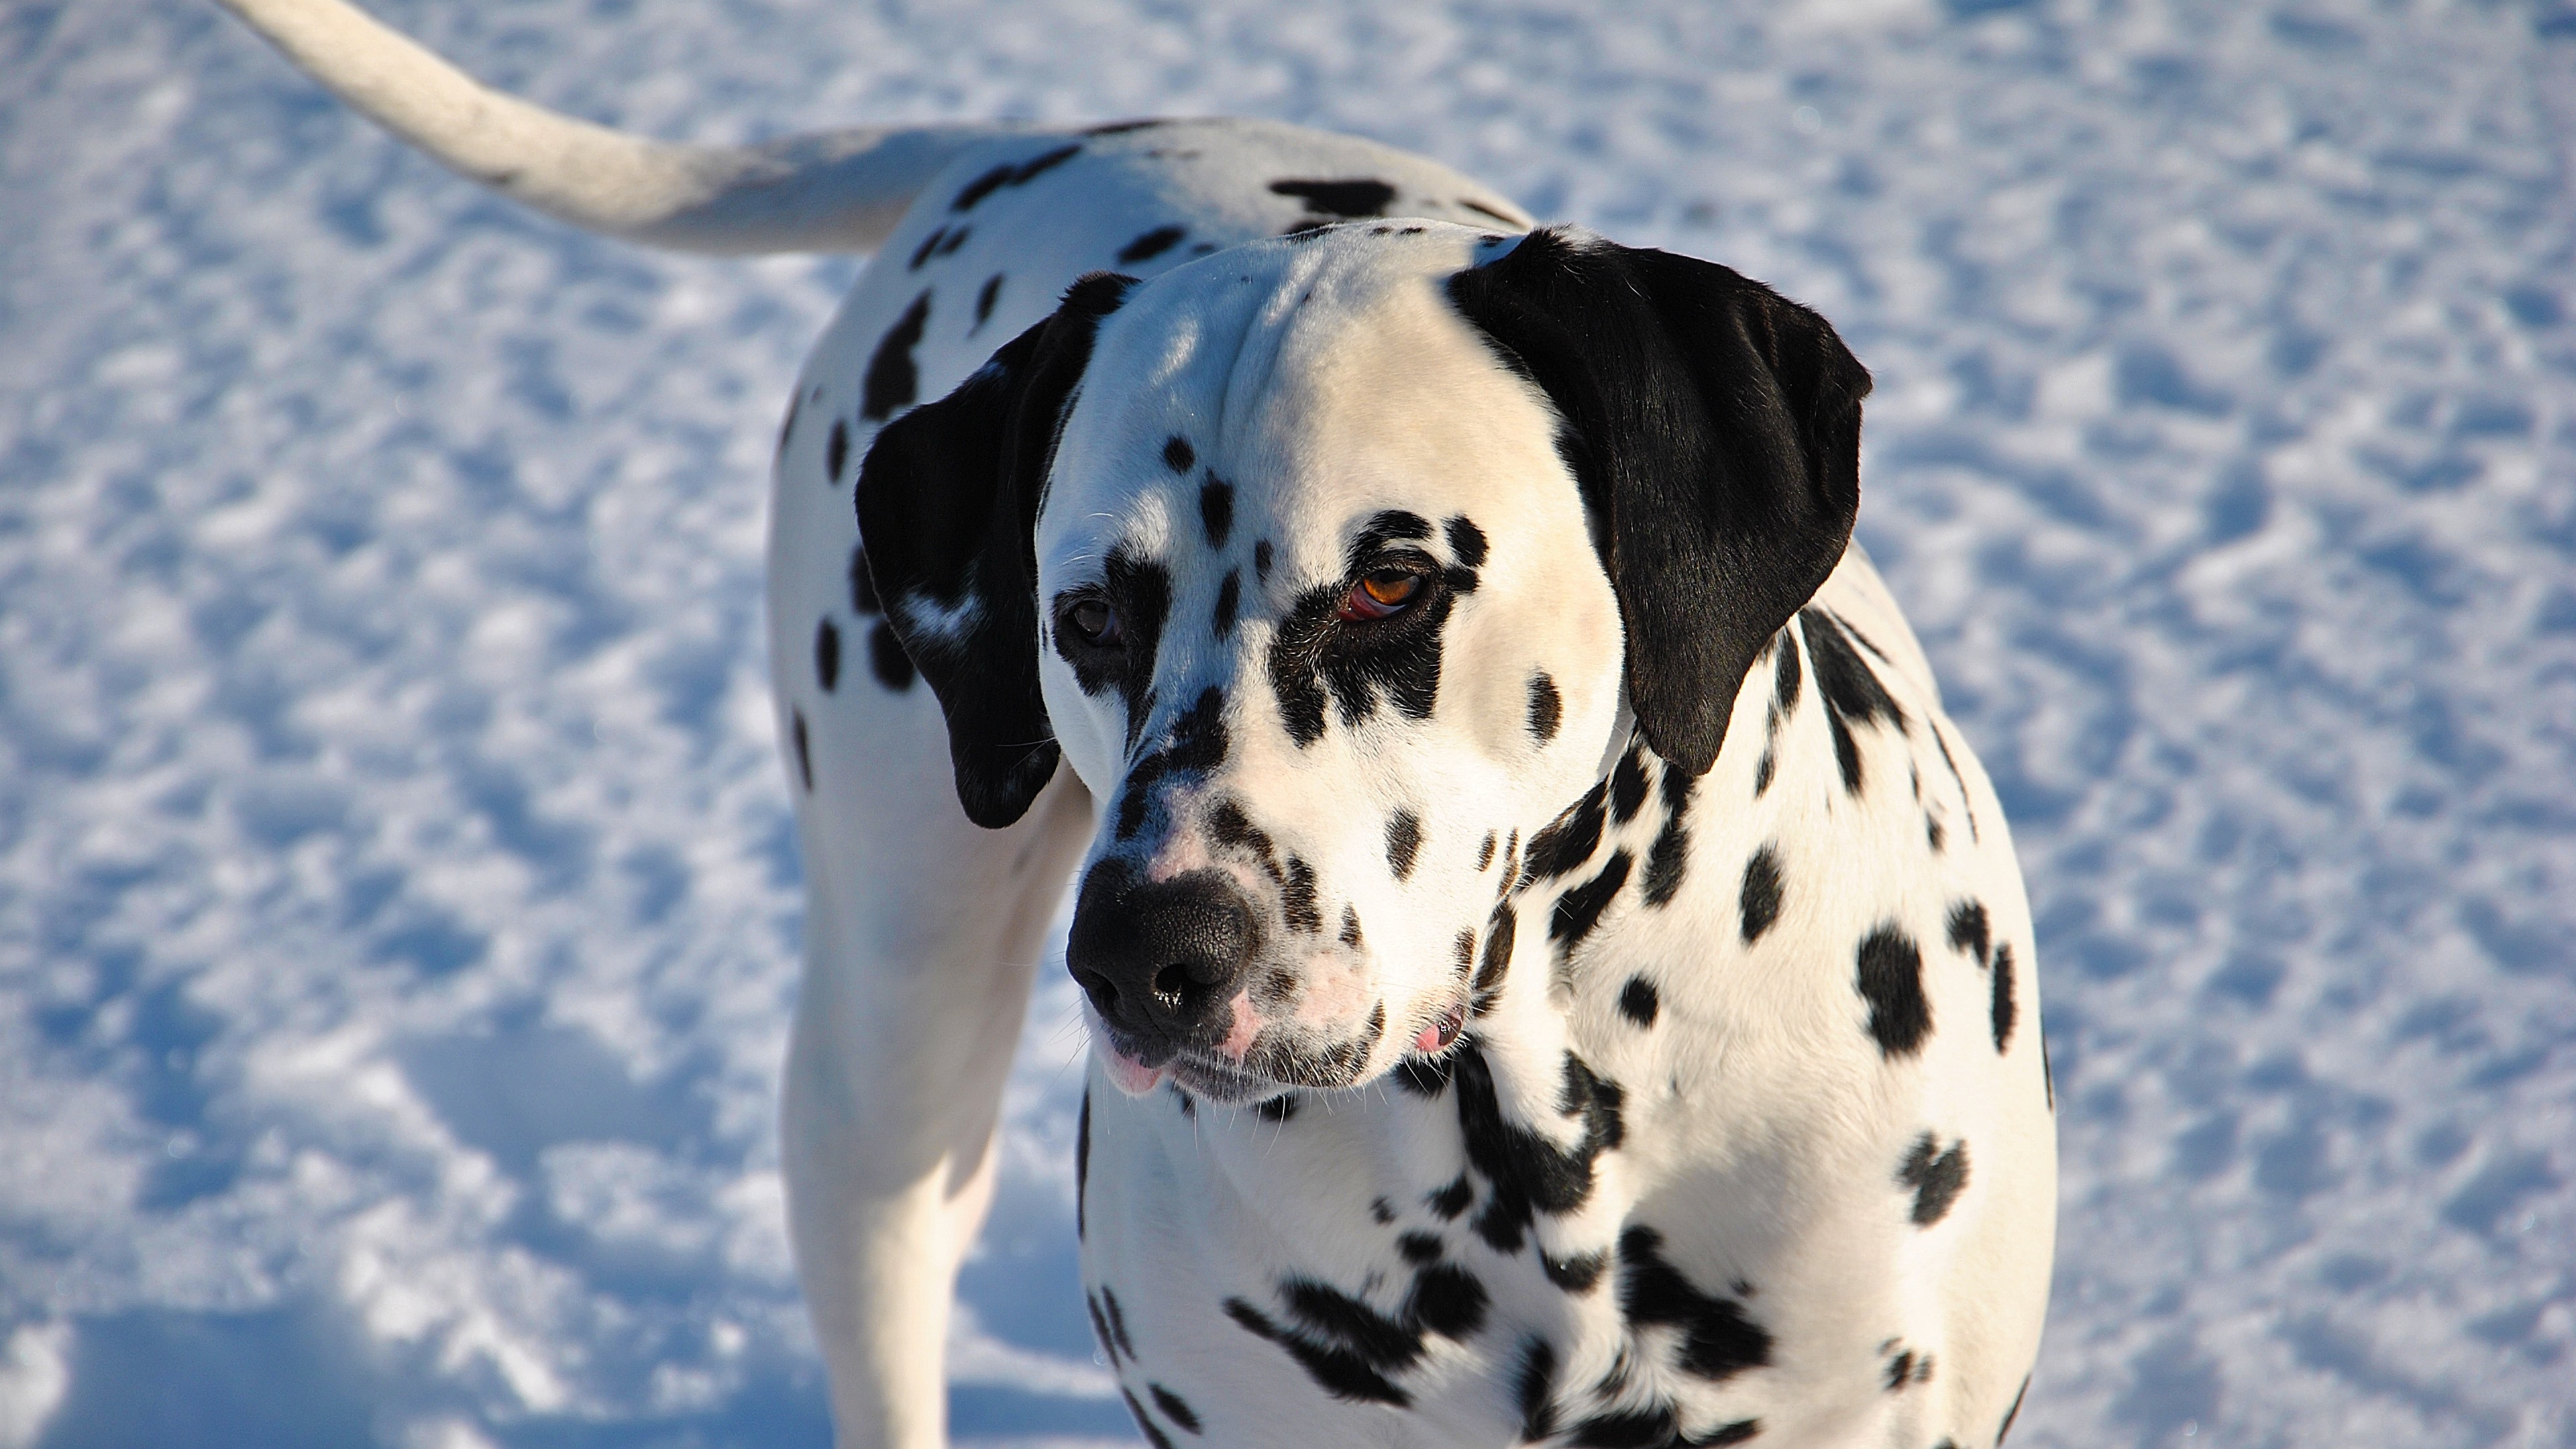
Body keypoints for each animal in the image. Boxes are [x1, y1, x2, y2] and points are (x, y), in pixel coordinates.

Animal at [216, 3, 2050, 1444]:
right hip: (895, 1023)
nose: (1149, 954)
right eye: (1084, 618)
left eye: (1392, 582)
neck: (1549, 1139)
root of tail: (1025, 143)